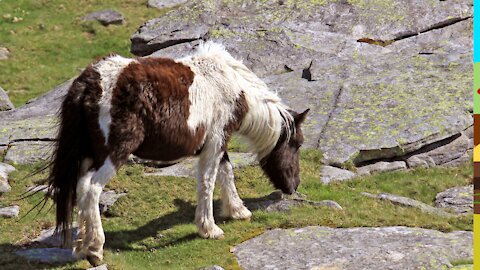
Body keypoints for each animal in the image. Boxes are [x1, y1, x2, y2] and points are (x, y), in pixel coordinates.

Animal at [46, 42, 308, 266]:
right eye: (297, 144)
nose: (293, 186)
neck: (232, 86)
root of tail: (90, 82)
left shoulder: (218, 142)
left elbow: (226, 172)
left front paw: (237, 210)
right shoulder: (216, 141)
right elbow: (208, 181)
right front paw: (209, 228)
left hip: (89, 155)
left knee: (81, 188)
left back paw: (82, 246)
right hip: (113, 154)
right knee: (92, 189)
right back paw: (95, 249)